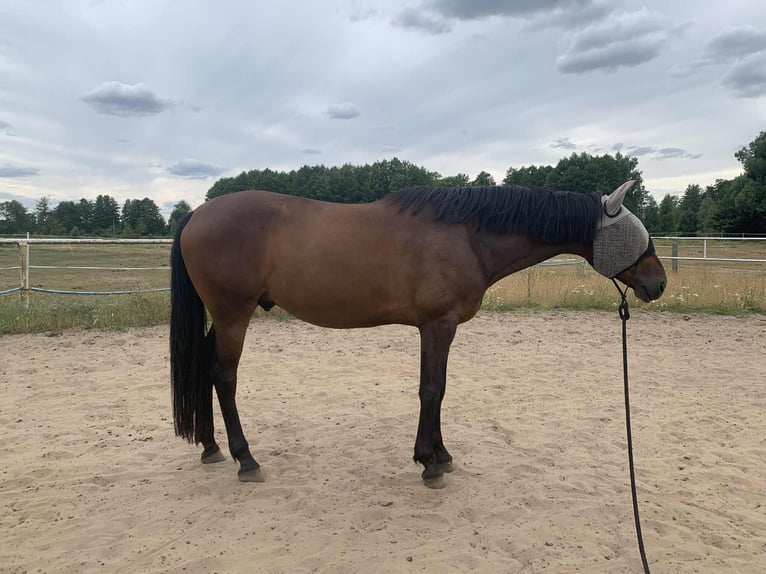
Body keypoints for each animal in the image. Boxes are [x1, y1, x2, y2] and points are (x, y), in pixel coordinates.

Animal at [169, 180, 666, 488]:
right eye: (637, 234)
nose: (658, 283)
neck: (467, 235)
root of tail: (196, 214)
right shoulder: (436, 325)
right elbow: (432, 389)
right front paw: (429, 463)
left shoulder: (440, 328)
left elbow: (439, 389)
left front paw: (441, 455)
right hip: (233, 315)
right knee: (224, 377)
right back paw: (246, 460)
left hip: (224, 318)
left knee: (204, 370)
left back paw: (211, 447)